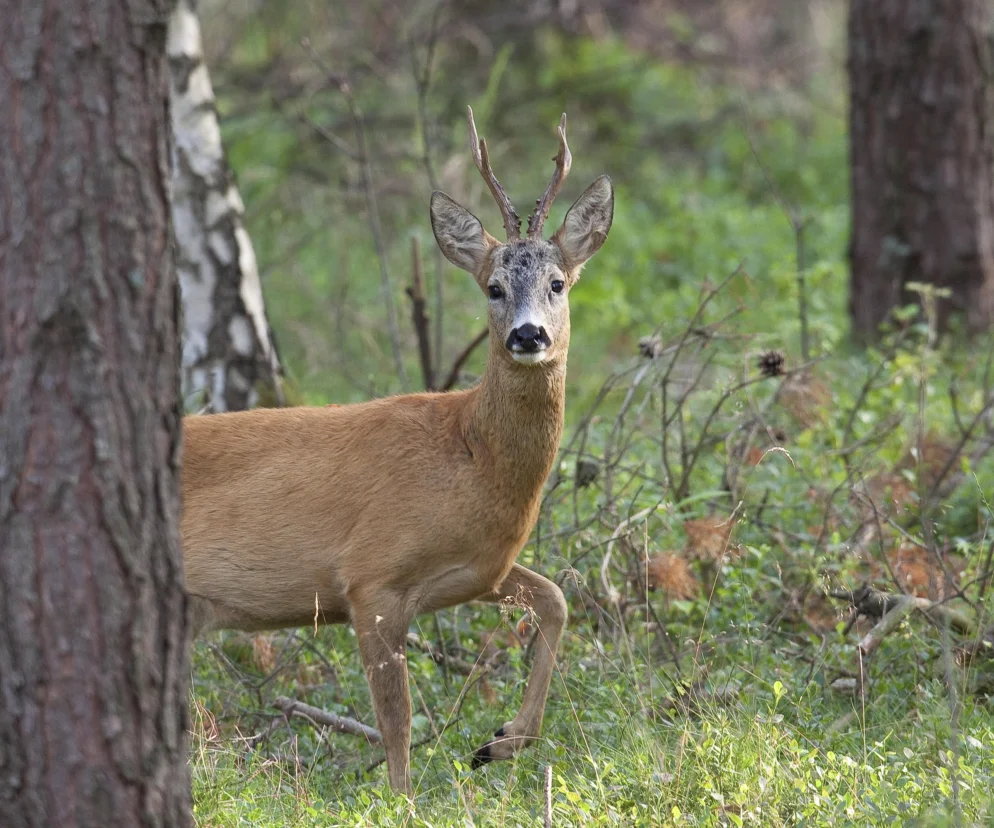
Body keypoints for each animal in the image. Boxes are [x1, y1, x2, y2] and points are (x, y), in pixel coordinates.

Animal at [181, 106, 614, 795]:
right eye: (493, 288)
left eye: (558, 283)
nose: (528, 335)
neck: (470, 454)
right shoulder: (371, 575)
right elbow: (397, 721)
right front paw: (405, 800)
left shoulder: (477, 568)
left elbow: (556, 597)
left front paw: (499, 742)